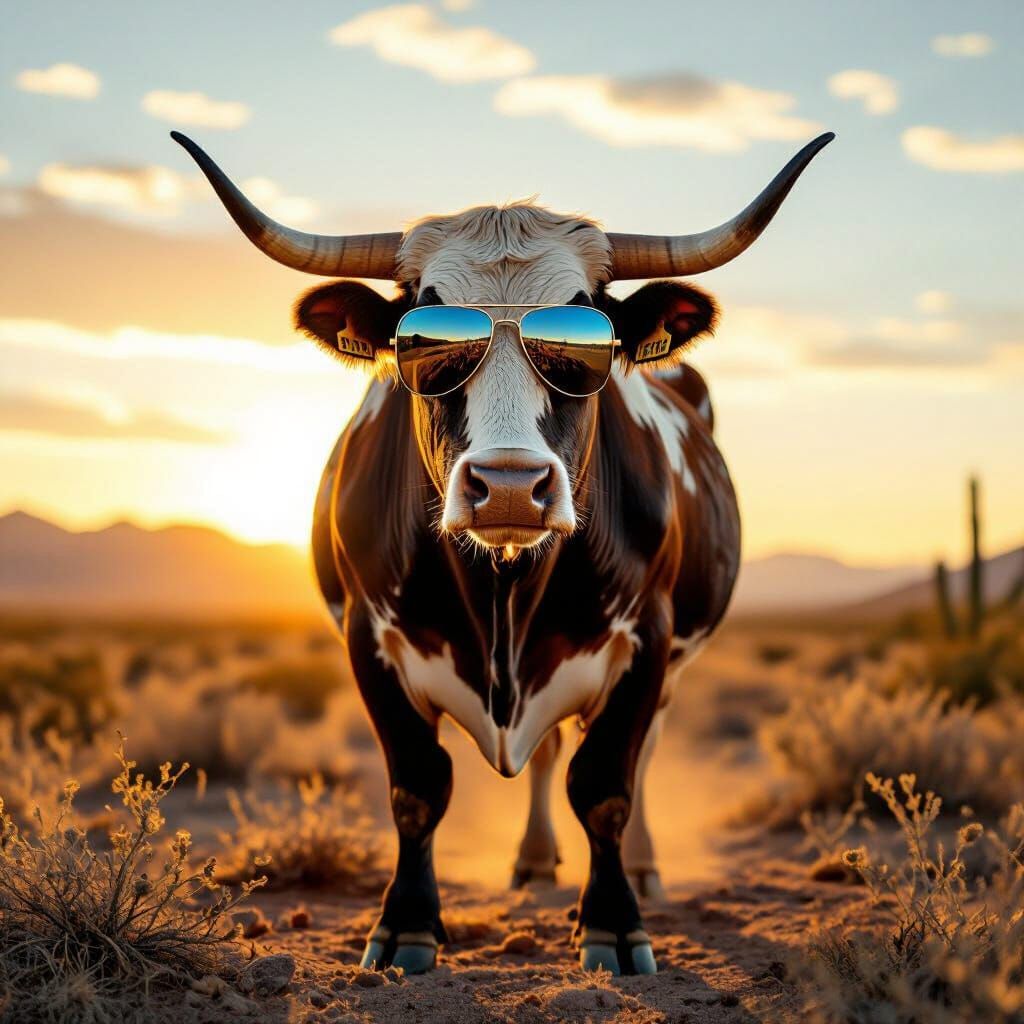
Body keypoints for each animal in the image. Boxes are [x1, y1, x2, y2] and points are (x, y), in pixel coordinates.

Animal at [174, 130, 832, 976]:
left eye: (587, 339)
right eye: (422, 339)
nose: (512, 487)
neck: (503, 597)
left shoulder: (648, 639)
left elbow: (607, 785)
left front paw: (614, 923)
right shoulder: (366, 638)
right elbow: (418, 787)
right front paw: (406, 925)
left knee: (638, 754)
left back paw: (644, 868)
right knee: (546, 751)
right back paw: (533, 861)